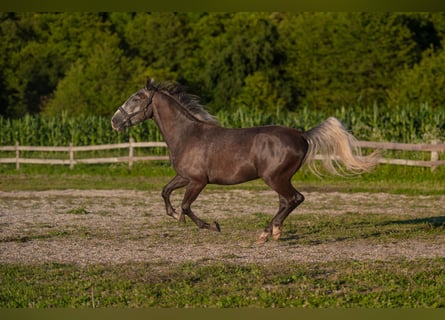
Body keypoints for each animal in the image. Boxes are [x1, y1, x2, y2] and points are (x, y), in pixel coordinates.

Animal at [111, 79, 378, 244]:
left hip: (275, 178)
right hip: (280, 178)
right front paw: (174, 215)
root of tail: (302, 135)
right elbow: (165, 192)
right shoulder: (184, 176)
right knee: (286, 202)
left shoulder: (198, 181)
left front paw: (211, 226)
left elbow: (186, 205)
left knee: (295, 198)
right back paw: (272, 232)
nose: (115, 121)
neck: (187, 134)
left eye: (136, 98)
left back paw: (267, 233)